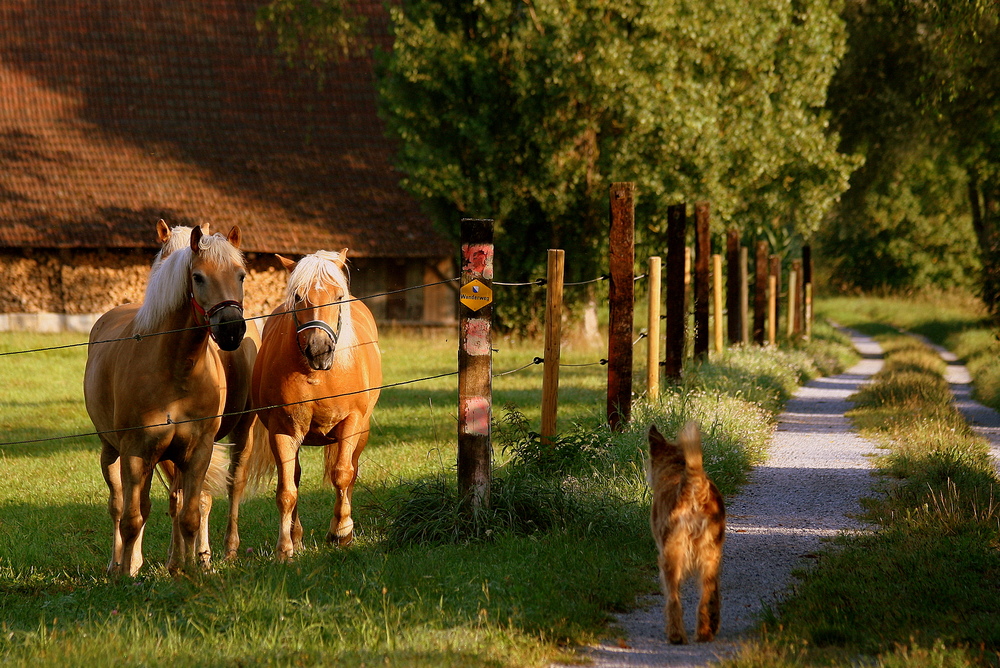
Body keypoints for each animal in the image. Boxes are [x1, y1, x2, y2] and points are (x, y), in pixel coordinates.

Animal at [86, 223, 250, 576]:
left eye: (241, 275)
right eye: (198, 277)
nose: (231, 328)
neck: (175, 370)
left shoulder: (197, 452)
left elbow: (189, 514)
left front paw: (187, 571)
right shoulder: (137, 451)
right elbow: (132, 518)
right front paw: (126, 575)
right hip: (113, 454)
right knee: (120, 507)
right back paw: (119, 564)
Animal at [152, 220, 266, 564]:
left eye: (242, 275)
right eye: (197, 276)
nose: (230, 329)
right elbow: (177, 498)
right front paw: (177, 555)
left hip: (244, 429)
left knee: (234, 484)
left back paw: (228, 550)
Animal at [250, 247, 382, 560]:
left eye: (338, 295)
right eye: (298, 296)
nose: (319, 349)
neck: (316, 375)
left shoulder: (351, 423)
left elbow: (343, 475)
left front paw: (341, 532)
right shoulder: (282, 432)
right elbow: (287, 491)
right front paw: (285, 547)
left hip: (361, 433)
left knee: (351, 471)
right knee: (295, 477)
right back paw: (296, 537)